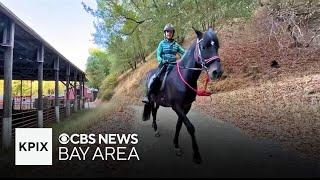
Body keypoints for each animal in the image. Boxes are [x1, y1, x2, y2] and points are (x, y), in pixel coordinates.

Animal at [142, 27, 222, 164]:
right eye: (203, 47)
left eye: (217, 46)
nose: (217, 72)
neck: (183, 78)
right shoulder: (177, 107)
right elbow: (190, 127)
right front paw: (196, 154)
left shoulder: (186, 106)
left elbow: (179, 126)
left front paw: (176, 145)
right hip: (151, 100)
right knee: (153, 112)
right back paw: (156, 129)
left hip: (158, 102)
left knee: (154, 112)